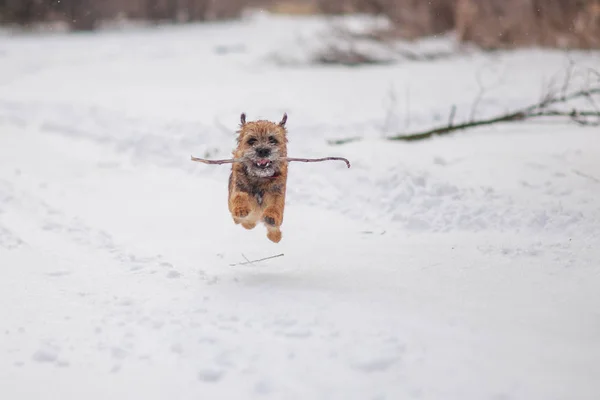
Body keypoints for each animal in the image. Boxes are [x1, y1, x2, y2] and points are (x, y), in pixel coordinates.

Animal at [227, 113, 288, 244]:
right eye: (251, 140)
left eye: (272, 140)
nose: (263, 150)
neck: (260, 177)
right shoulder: (238, 187)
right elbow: (239, 196)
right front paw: (241, 208)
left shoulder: (277, 192)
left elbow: (275, 205)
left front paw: (271, 216)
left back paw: (274, 236)